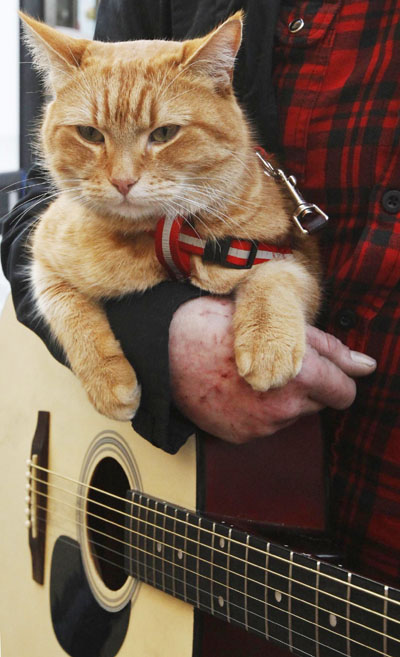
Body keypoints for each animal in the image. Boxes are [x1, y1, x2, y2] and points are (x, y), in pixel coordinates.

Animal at [21, 11, 320, 420]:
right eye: (89, 134)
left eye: (164, 133)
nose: (123, 181)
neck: (168, 235)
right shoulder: (43, 257)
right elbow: (67, 308)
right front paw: (107, 380)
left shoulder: (295, 254)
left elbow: (277, 274)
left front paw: (267, 340)